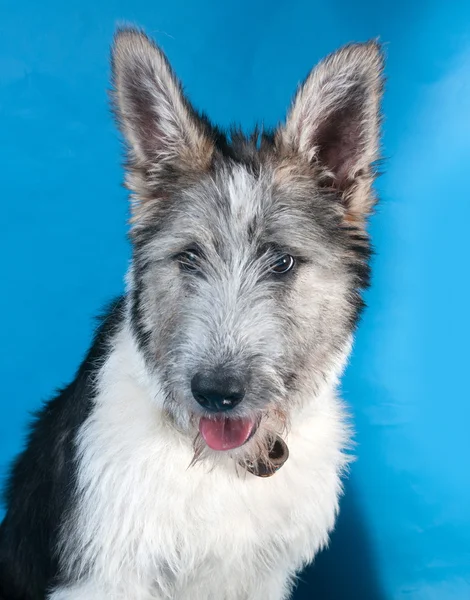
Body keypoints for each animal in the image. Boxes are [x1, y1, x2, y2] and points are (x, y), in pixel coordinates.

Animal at [0, 25, 382, 596]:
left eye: (283, 262)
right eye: (188, 258)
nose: (216, 394)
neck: (221, 466)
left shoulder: (264, 576)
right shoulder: (107, 576)